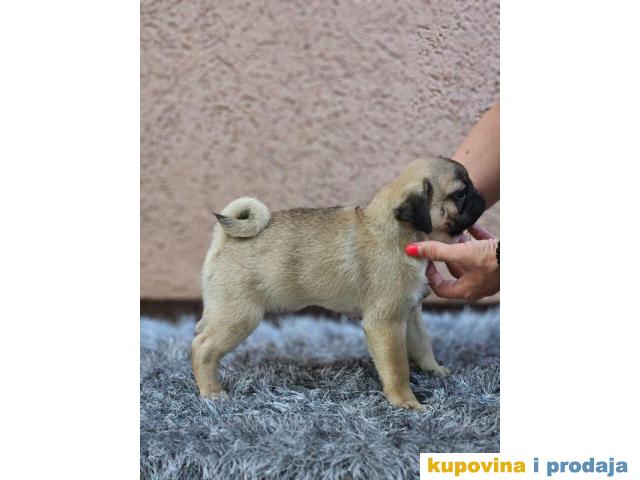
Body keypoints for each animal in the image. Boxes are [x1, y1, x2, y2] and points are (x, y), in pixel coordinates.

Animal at [193, 156, 485, 410]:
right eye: (461, 193)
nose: (480, 195)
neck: (400, 230)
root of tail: (225, 238)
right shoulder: (387, 322)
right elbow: (397, 367)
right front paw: (406, 402)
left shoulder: (410, 313)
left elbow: (423, 344)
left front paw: (433, 369)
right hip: (242, 315)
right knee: (202, 347)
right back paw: (211, 392)